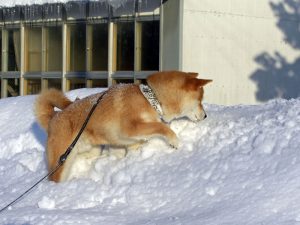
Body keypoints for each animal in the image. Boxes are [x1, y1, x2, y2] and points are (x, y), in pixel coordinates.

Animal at [35, 71, 212, 182]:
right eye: (200, 100)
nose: (205, 116)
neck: (151, 98)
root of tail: (54, 117)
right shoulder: (130, 128)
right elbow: (161, 127)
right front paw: (174, 140)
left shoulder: (132, 141)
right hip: (61, 162)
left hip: (87, 150)